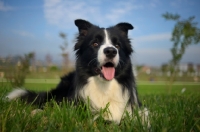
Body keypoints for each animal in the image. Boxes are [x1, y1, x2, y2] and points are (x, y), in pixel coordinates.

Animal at [6, 18, 148, 125]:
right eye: (95, 44)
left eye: (117, 45)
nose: (111, 51)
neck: (104, 86)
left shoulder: (137, 109)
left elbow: (143, 117)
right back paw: (35, 112)